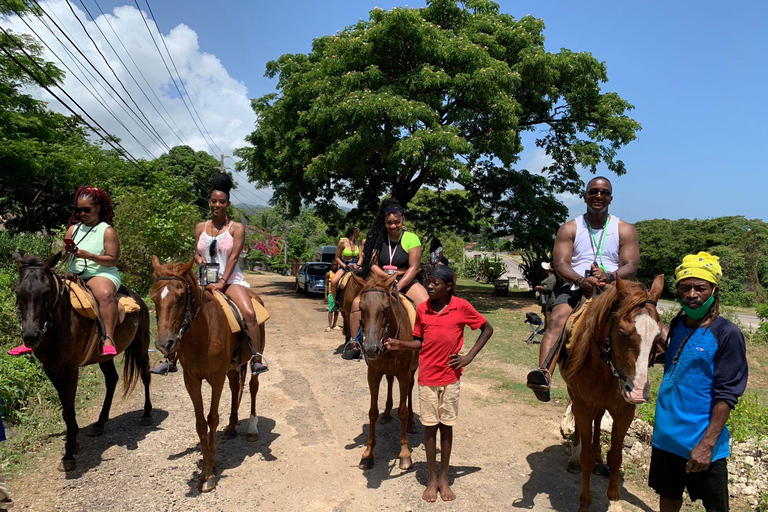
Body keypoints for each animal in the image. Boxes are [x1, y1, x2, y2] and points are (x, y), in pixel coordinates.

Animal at [13, 252, 153, 472]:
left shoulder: (70, 369)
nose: (30, 336)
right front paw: (74, 439)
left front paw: (69, 454)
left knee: (145, 375)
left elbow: (69, 411)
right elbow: (65, 408)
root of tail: (137, 298)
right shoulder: (51, 369)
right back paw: (100, 423)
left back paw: (147, 414)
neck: (60, 323)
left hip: (140, 346)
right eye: (18, 292)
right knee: (112, 380)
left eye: (46, 292)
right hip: (104, 356)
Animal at [148, 260, 266, 492]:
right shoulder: (191, 380)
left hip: (252, 360)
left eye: (181, 296)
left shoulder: (216, 378)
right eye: (154, 297)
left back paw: (252, 429)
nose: (164, 343)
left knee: (252, 387)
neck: (202, 333)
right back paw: (231, 427)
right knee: (235, 388)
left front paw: (210, 473)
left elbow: (212, 418)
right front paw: (206, 467)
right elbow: (200, 423)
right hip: (232, 367)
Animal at [352, 274, 416, 470]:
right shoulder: (373, 374)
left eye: (386, 308)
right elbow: (373, 412)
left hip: (412, 370)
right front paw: (368, 454)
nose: (371, 349)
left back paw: (412, 422)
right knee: (389, 380)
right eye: (361, 308)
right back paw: (387, 414)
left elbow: (402, 411)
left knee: (410, 390)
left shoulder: (404, 374)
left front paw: (405, 454)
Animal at [560, 276, 664, 512]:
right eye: (622, 332)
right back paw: (574, 458)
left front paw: (615, 501)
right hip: (575, 397)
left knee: (598, 420)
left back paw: (599, 457)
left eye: (657, 336)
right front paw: (584, 503)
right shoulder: (583, 405)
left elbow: (616, 457)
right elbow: (586, 458)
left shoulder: (625, 411)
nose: (638, 391)